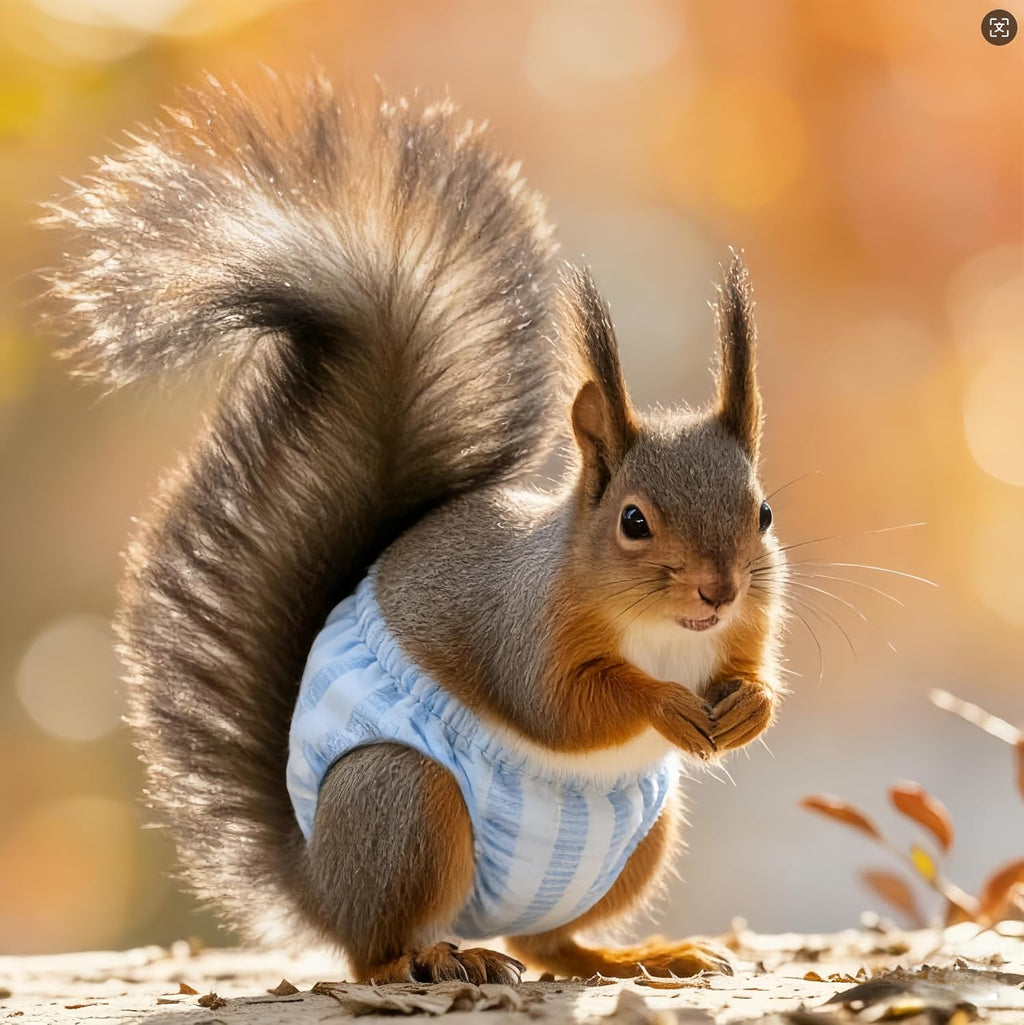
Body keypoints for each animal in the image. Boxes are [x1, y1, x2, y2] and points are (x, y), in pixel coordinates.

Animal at [43, 72, 787, 985]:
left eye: (762, 512)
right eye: (633, 521)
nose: (718, 589)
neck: (666, 631)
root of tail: (320, 883)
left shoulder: (745, 626)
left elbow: (747, 671)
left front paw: (750, 707)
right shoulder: (520, 625)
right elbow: (560, 705)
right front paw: (663, 704)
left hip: (636, 838)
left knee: (547, 942)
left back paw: (629, 954)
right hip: (404, 801)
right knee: (376, 947)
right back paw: (423, 960)